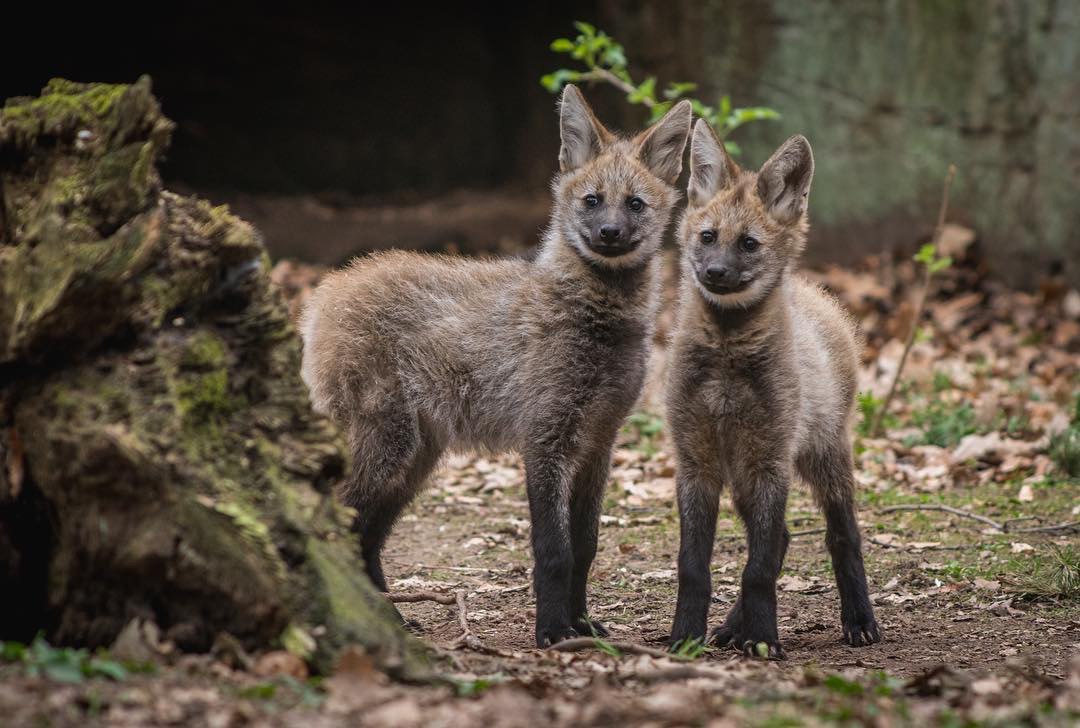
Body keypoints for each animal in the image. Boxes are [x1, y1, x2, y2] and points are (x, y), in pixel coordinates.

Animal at [300, 86, 692, 647]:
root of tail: (326, 289)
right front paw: (553, 631)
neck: (598, 320)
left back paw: (389, 616)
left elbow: (586, 547)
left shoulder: (599, 441)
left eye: (635, 204)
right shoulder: (546, 439)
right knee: (340, 522)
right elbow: (554, 551)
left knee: (366, 536)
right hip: (388, 447)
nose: (610, 233)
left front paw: (582, 624)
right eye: (592, 201)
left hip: (415, 460)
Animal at [666, 120, 881, 657]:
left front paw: (763, 639)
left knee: (842, 537)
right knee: (782, 536)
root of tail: (815, 294)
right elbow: (694, 567)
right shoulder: (696, 462)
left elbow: (758, 569)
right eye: (708, 237)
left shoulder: (770, 462)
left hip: (821, 456)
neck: (727, 362)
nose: (714, 273)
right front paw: (687, 636)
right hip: (744, 474)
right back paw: (729, 627)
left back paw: (859, 620)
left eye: (748, 243)